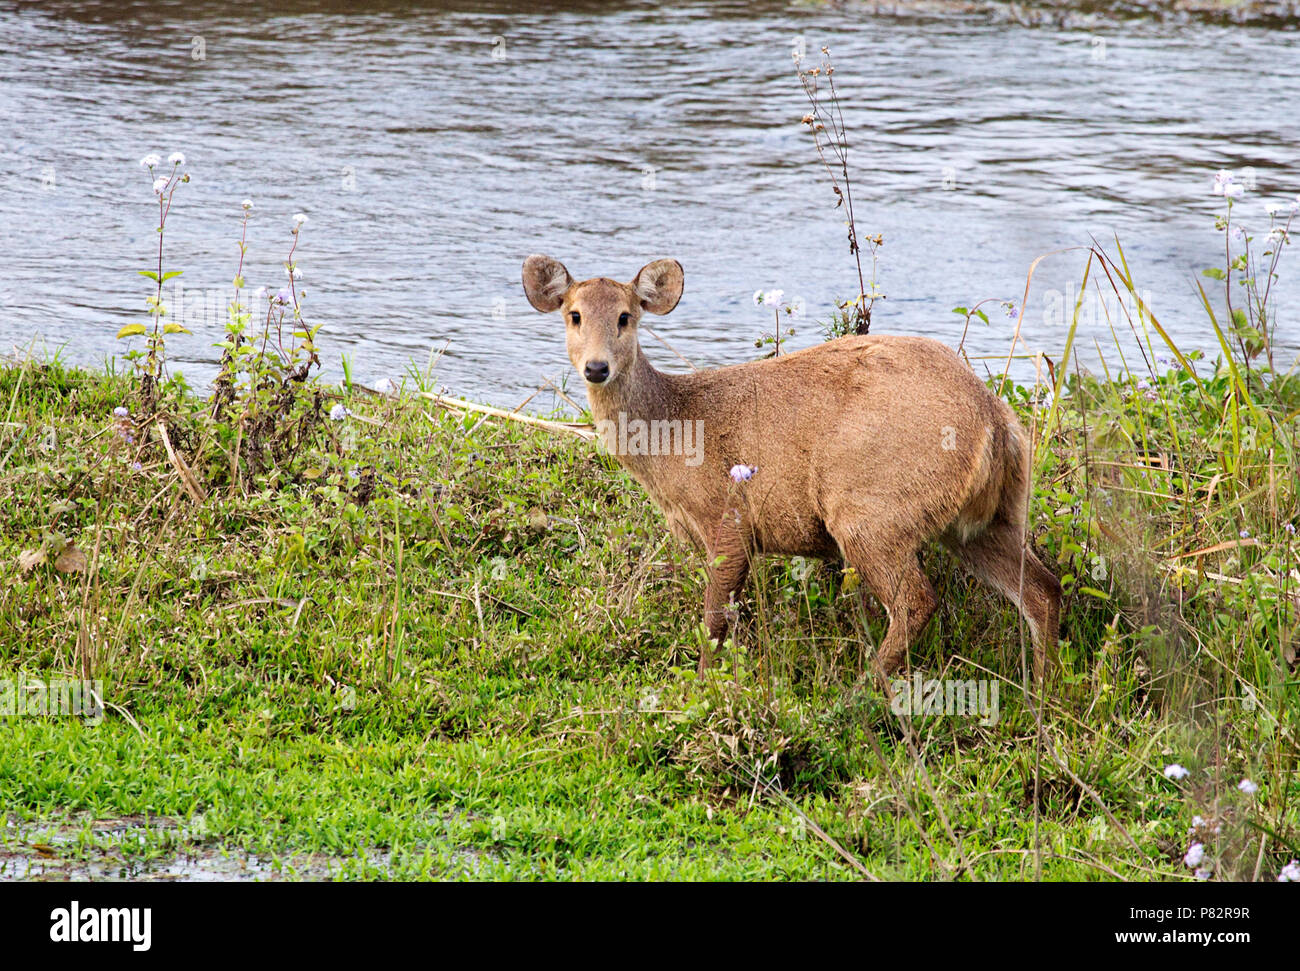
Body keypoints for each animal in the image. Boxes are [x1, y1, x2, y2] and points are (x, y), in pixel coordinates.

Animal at [522, 254, 1060, 686]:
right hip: (985, 518)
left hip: (870, 509)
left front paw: (701, 687)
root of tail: (995, 422)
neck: (673, 436)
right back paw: (1044, 691)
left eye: (625, 316)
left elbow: (714, 619)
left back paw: (862, 689)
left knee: (917, 599)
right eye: (574, 315)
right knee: (1043, 590)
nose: (596, 368)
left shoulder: (728, 516)